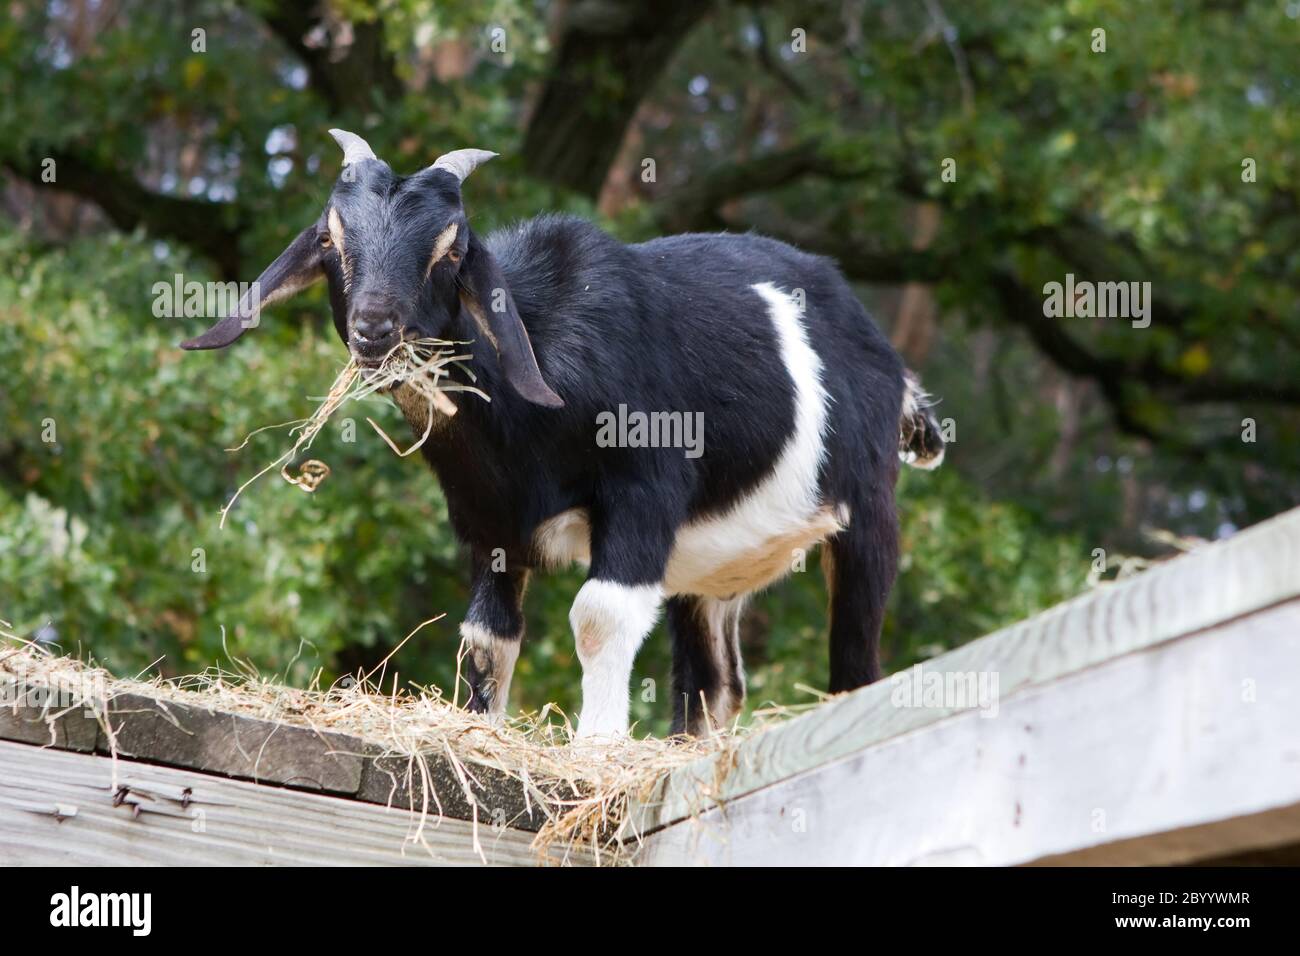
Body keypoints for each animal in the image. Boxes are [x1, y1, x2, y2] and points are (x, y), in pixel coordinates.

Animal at [180, 128, 946, 738]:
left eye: (451, 249)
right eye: (331, 238)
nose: (375, 329)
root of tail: (891, 360)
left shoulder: (645, 491)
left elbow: (599, 614)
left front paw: (597, 746)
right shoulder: (490, 524)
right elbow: (487, 639)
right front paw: (482, 730)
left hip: (866, 513)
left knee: (855, 658)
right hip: (708, 567)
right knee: (714, 682)